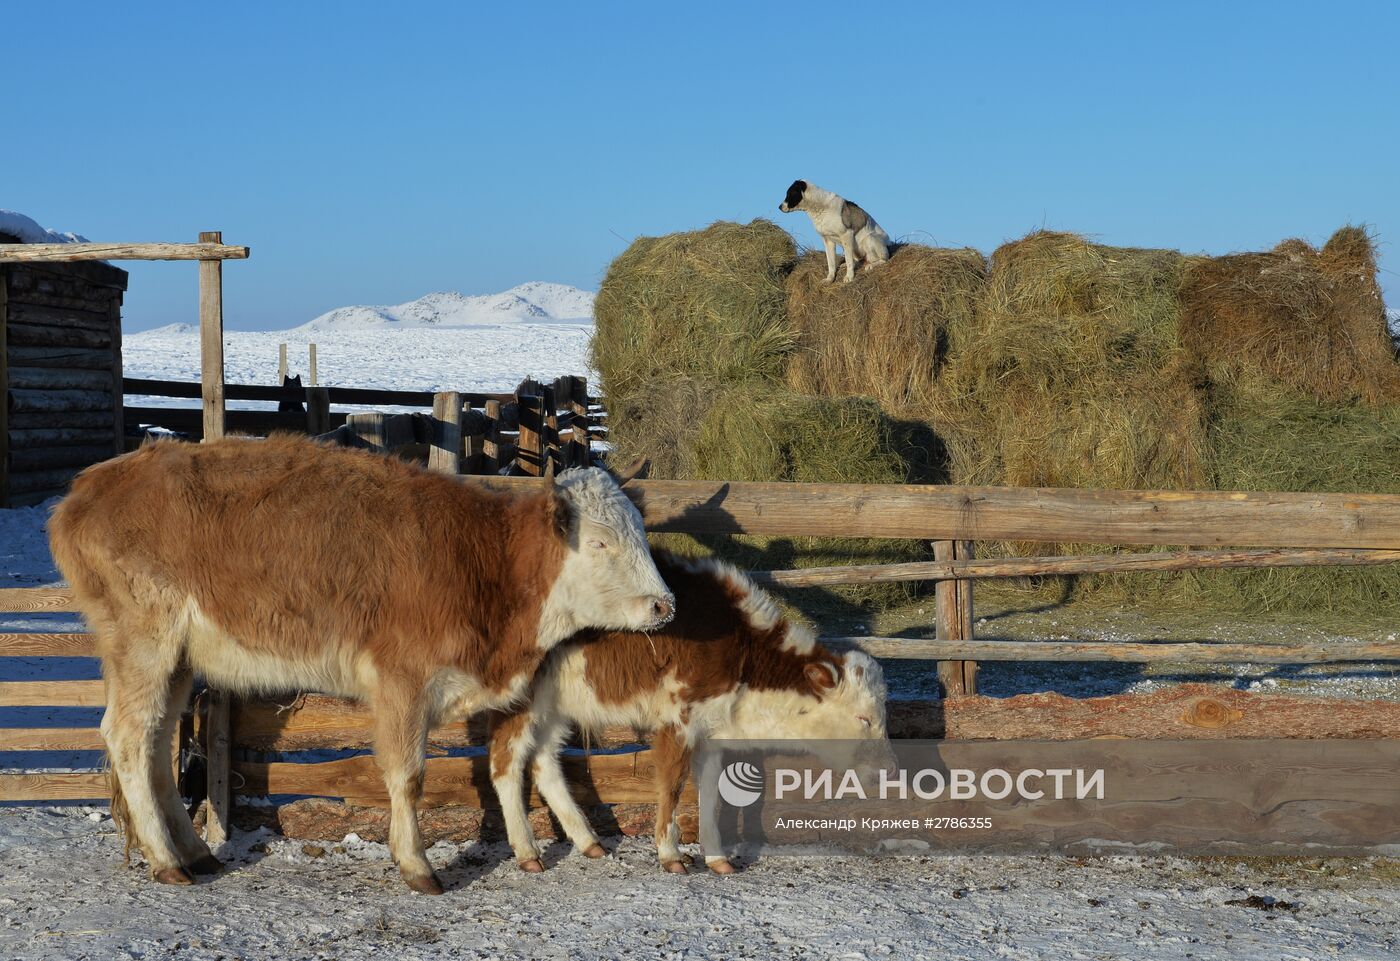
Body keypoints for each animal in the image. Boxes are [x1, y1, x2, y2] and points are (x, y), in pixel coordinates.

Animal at [49, 437, 672, 896]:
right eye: (599, 543)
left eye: (640, 533)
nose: (665, 605)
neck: (482, 561)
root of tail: (90, 484)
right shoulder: (403, 683)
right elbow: (408, 774)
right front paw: (417, 865)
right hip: (144, 644)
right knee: (128, 738)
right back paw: (165, 860)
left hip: (175, 661)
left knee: (156, 743)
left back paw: (195, 851)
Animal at [487, 554, 890, 879]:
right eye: (863, 718)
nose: (886, 771)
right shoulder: (678, 722)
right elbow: (673, 785)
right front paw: (671, 854)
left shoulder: (711, 731)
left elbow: (710, 792)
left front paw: (717, 857)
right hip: (523, 699)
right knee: (505, 759)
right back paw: (527, 851)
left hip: (557, 706)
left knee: (543, 761)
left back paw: (588, 841)